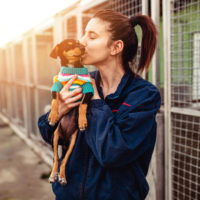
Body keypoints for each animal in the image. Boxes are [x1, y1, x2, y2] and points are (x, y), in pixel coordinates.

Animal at [47, 39, 94, 186]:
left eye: (79, 42)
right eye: (69, 44)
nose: (83, 47)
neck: (73, 68)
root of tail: (65, 141)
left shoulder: (88, 88)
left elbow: (82, 105)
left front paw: (82, 121)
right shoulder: (56, 85)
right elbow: (55, 100)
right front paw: (53, 116)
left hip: (73, 141)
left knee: (65, 160)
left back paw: (62, 176)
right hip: (55, 137)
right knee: (57, 158)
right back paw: (53, 175)